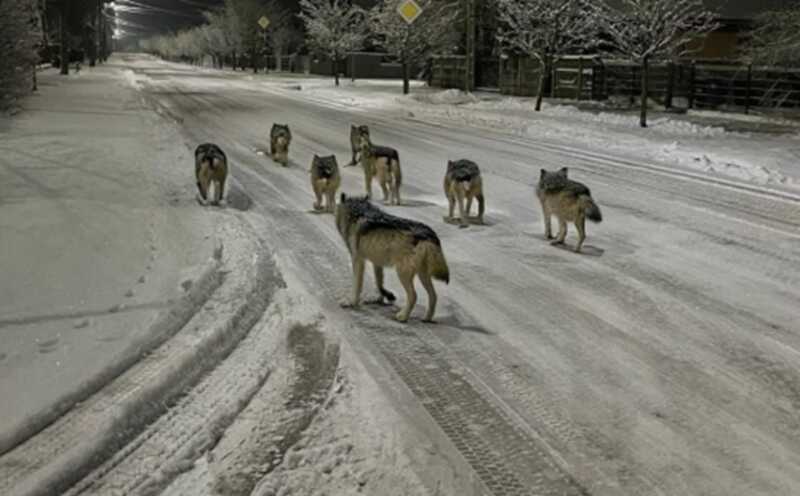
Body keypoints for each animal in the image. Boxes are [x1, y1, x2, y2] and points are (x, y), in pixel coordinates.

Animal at [334, 196, 450, 324]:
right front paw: (380, 298)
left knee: (414, 295)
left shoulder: (357, 259)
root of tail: (429, 235)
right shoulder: (377, 262)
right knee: (433, 296)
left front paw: (351, 302)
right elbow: (379, 282)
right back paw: (426, 318)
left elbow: (357, 284)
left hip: (402, 273)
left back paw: (402, 317)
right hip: (422, 274)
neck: (358, 211)